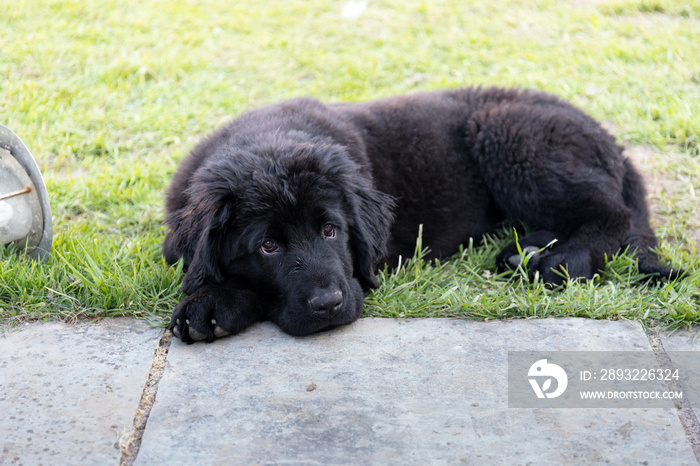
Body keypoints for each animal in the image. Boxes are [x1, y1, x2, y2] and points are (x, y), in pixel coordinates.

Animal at [163, 86, 680, 342]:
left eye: (331, 231)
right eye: (268, 246)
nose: (328, 304)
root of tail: (608, 138)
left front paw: (214, 303)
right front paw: (215, 299)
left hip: (514, 138)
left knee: (611, 216)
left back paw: (554, 263)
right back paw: (526, 251)